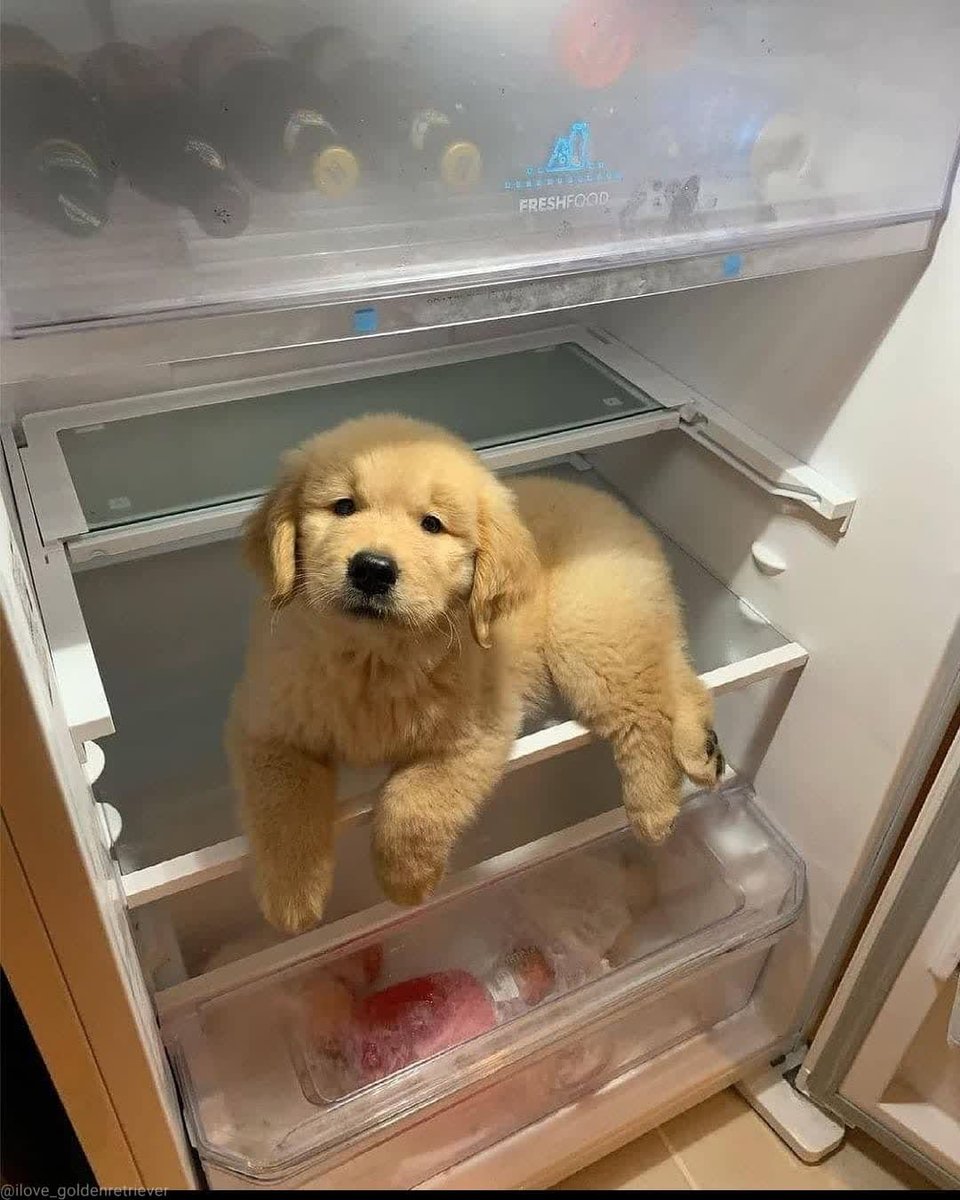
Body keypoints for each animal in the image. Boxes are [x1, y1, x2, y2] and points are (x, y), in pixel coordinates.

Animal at [226, 415, 720, 936]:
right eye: (343, 506)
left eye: (432, 524)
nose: (372, 569)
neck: (375, 657)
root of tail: (615, 509)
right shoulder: (266, 725)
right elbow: (283, 803)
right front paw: (292, 899)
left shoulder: (476, 733)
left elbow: (413, 801)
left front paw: (407, 883)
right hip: (629, 626)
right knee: (677, 678)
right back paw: (702, 751)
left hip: (589, 631)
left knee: (644, 714)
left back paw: (655, 811)